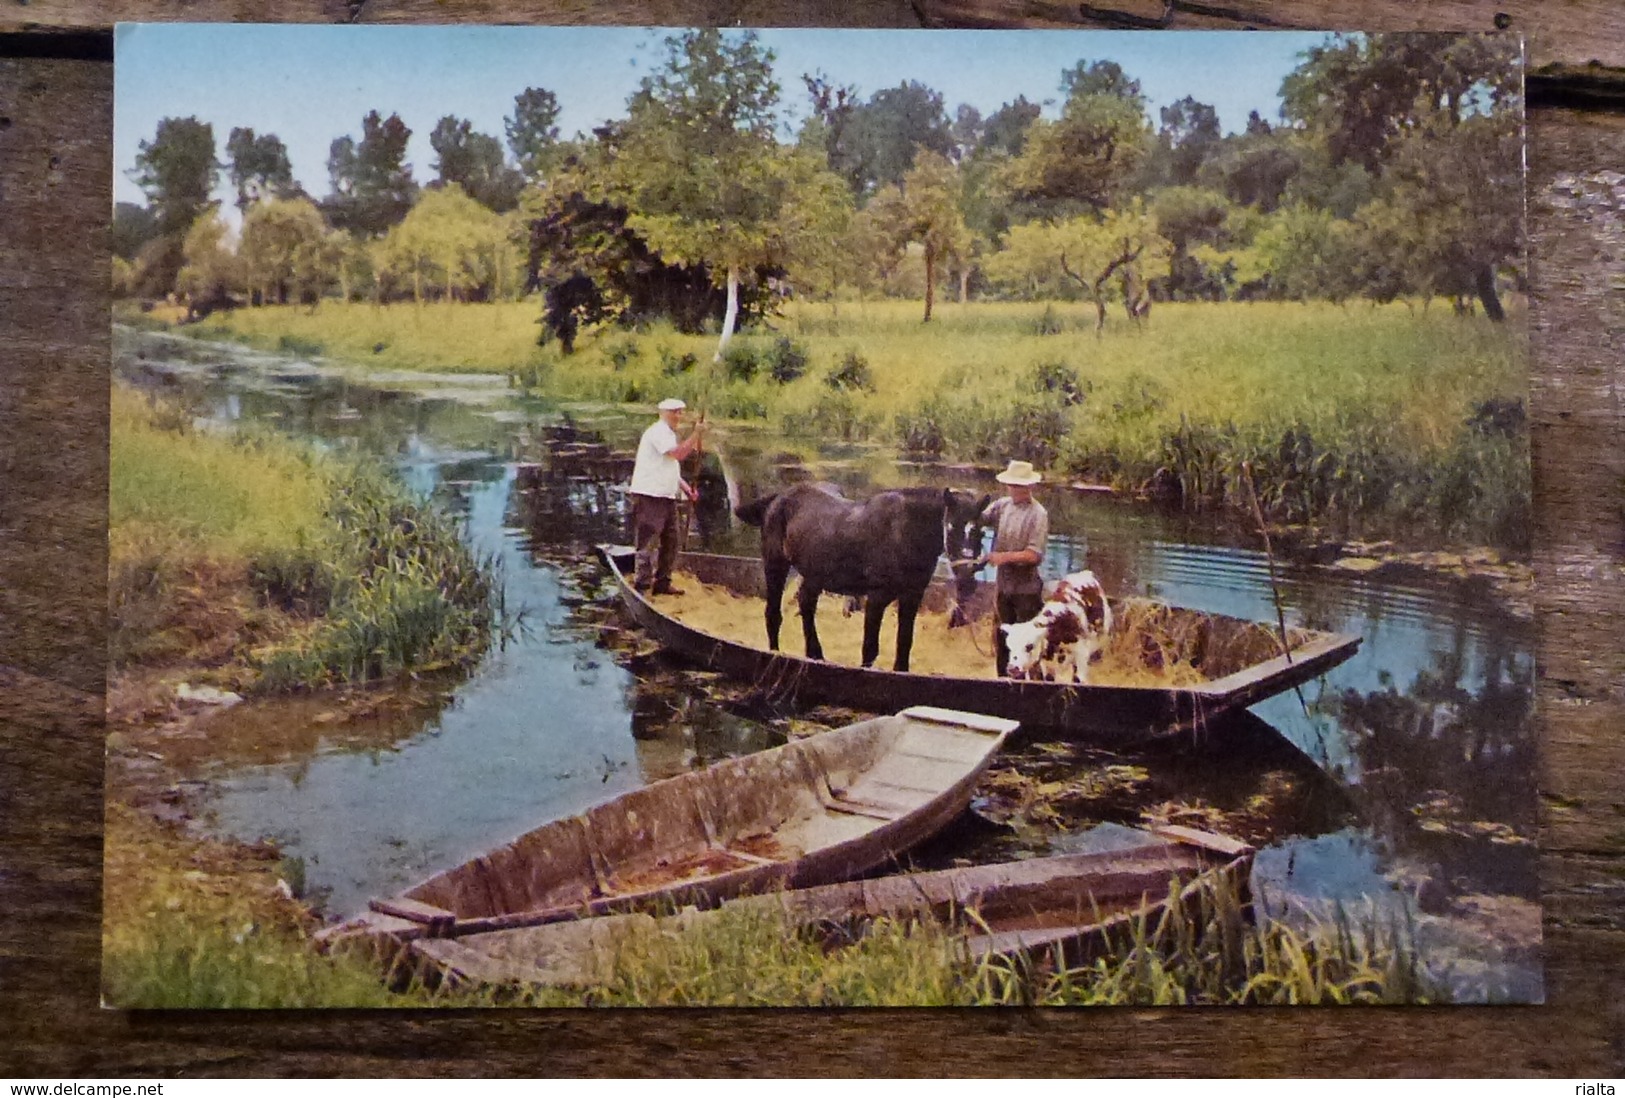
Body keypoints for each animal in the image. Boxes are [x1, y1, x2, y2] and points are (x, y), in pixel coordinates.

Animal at [737, 484, 988, 672]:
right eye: (951, 527)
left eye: (980, 531)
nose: (968, 577)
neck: (904, 532)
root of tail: (778, 497)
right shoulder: (877, 597)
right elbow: (870, 647)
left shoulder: (912, 596)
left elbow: (904, 642)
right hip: (775, 565)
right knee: (773, 613)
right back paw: (775, 653)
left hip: (813, 575)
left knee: (806, 606)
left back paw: (815, 654)